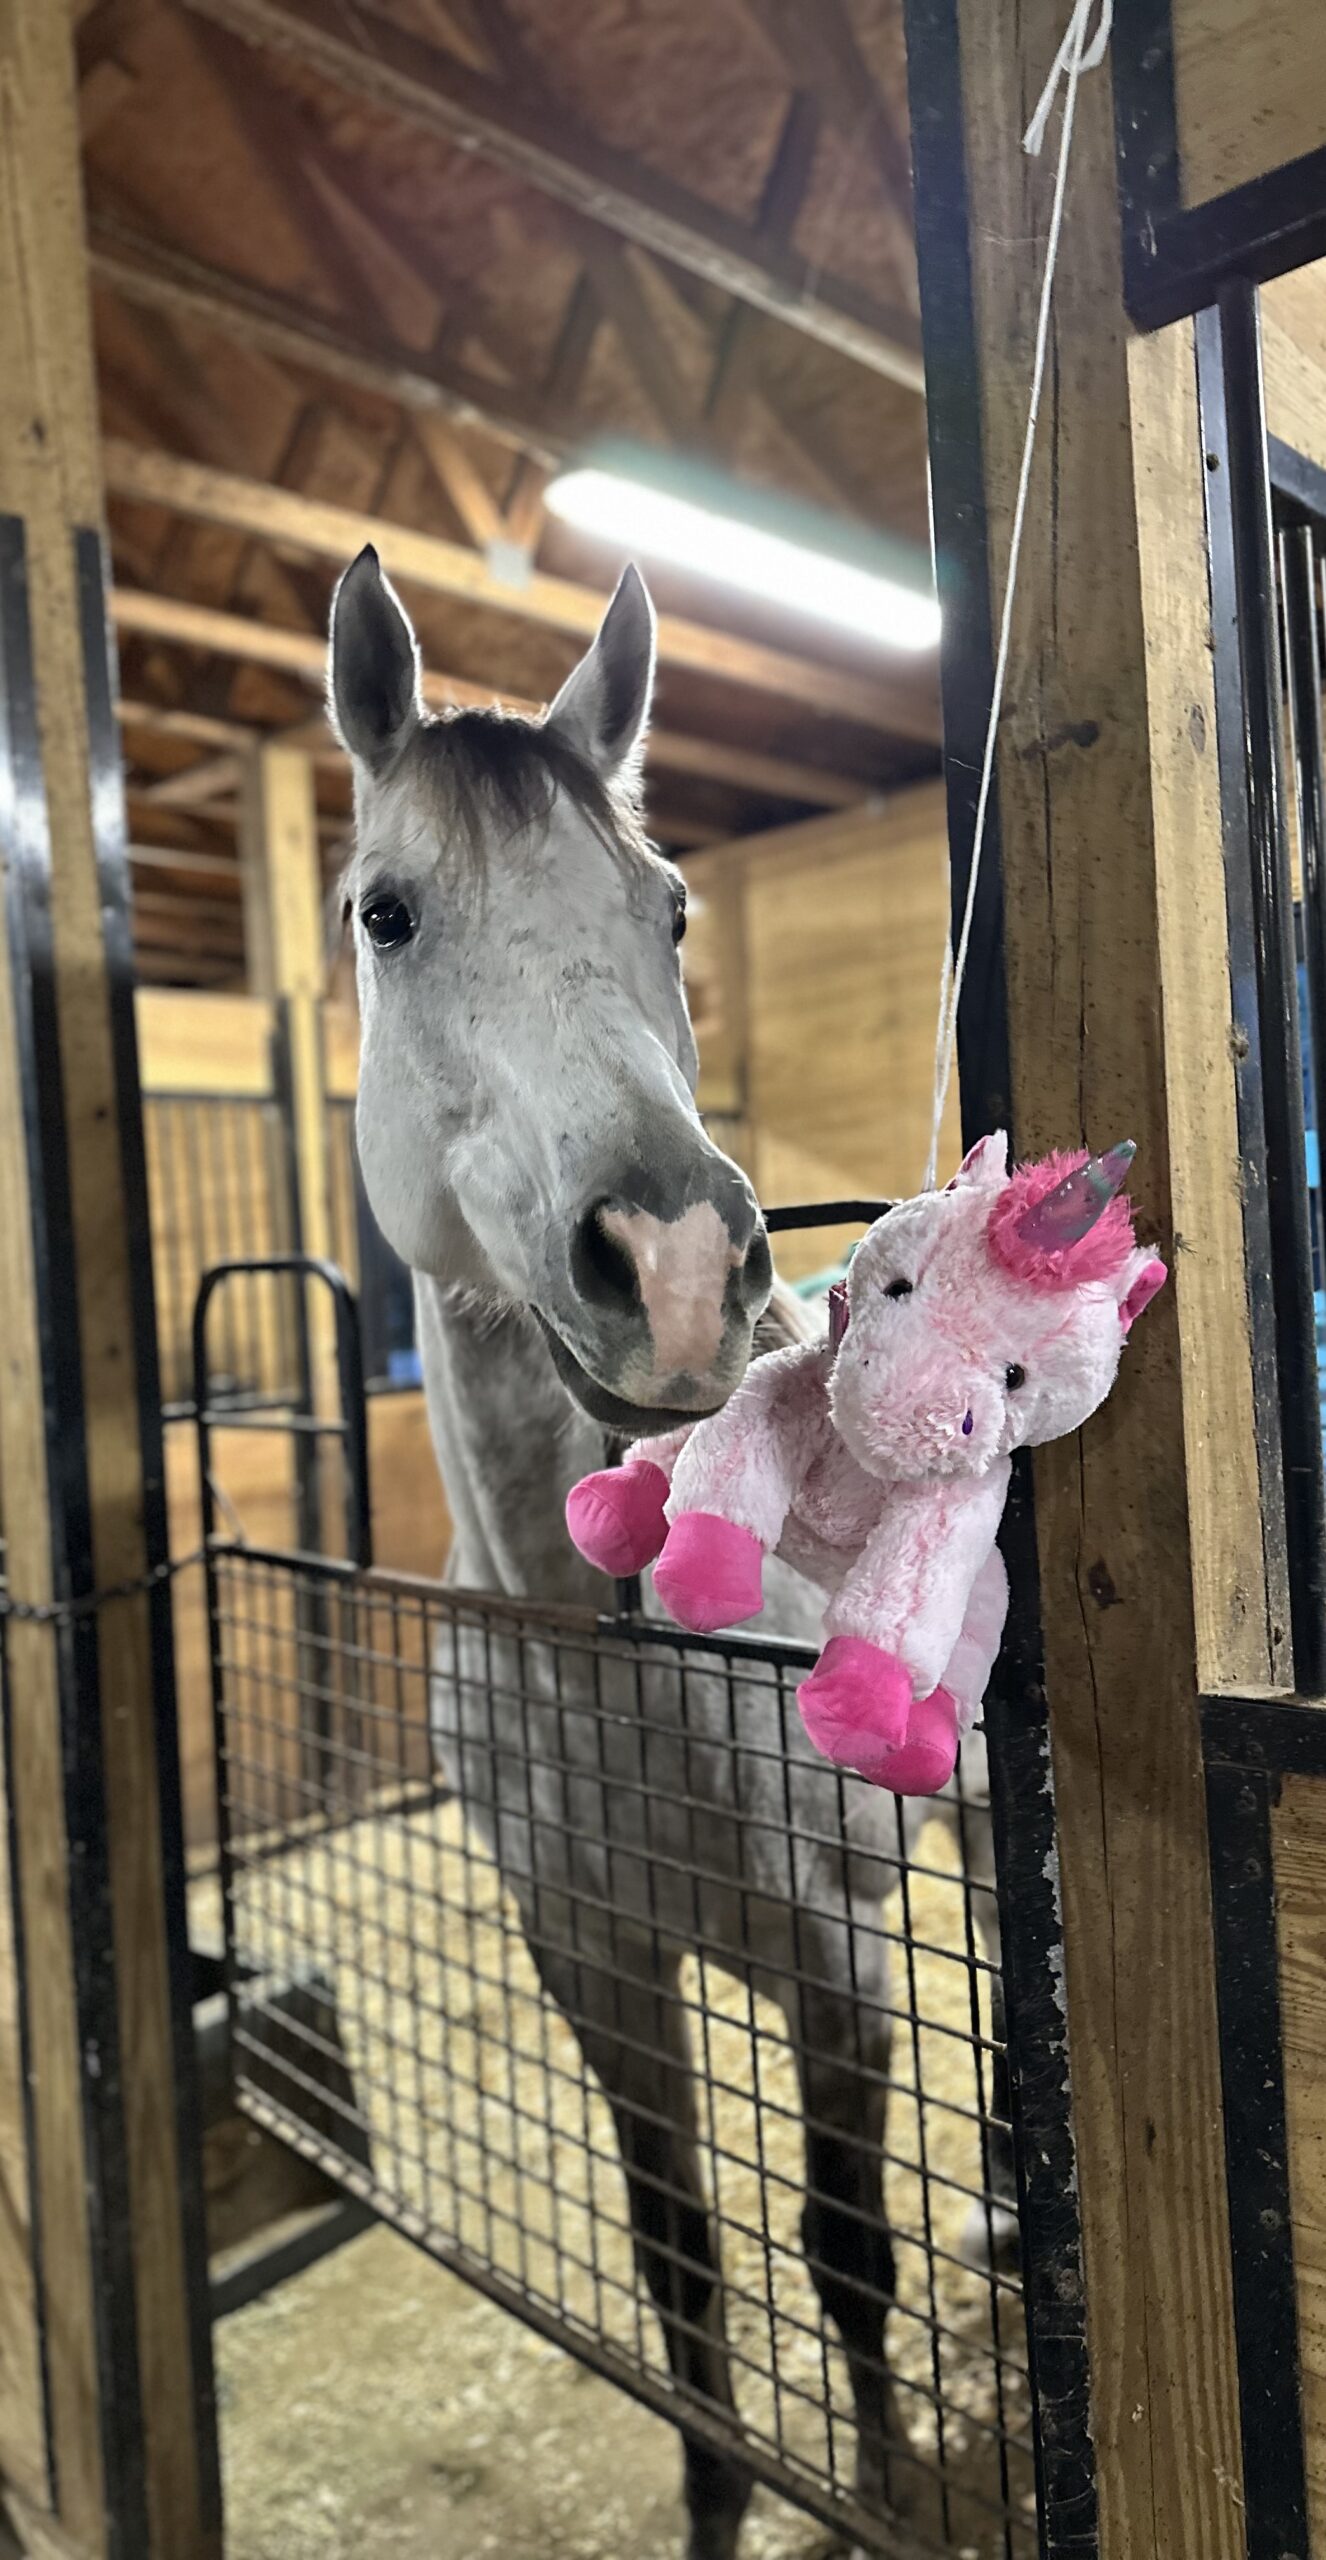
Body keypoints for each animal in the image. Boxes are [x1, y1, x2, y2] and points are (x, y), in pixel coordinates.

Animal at [328, 543, 1014, 2557]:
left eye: (671, 906)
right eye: (385, 913)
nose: (683, 1267)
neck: (604, 1641)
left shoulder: (837, 1967)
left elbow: (843, 2256)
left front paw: (876, 2484)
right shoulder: (600, 1972)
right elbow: (681, 2263)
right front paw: (721, 2504)